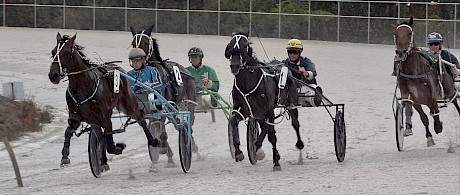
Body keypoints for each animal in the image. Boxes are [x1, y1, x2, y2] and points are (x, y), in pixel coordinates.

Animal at [47, 32, 158, 170]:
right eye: (53, 52)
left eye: (67, 52)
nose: (53, 75)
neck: (83, 86)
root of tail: (120, 70)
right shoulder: (77, 116)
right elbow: (69, 132)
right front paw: (65, 157)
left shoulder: (105, 116)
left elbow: (109, 142)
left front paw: (118, 147)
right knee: (101, 135)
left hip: (129, 105)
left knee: (141, 120)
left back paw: (153, 141)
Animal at [224, 32, 302, 170]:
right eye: (230, 45)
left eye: (245, 45)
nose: (235, 66)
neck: (249, 83)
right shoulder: (245, 109)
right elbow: (233, 121)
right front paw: (239, 152)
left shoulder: (268, 110)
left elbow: (270, 133)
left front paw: (273, 159)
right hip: (259, 114)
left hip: (290, 103)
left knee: (295, 123)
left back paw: (299, 144)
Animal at [392, 17, 460, 146]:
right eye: (395, 34)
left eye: (409, 33)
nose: (401, 52)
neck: (413, 71)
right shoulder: (412, 97)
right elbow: (423, 117)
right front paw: (428, 137)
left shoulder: (432, 95)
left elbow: (435, 111)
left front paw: (438, 126)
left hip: (449, 89)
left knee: (454, 100)